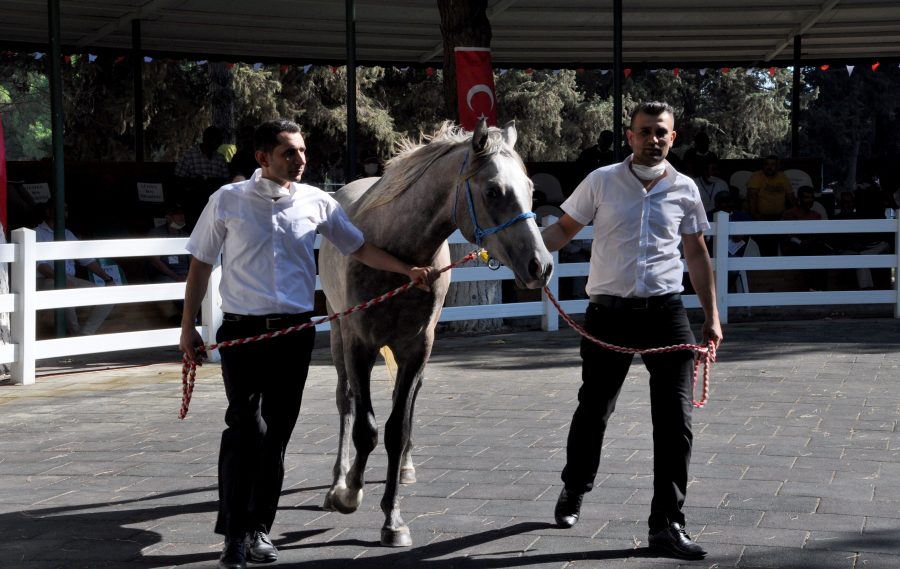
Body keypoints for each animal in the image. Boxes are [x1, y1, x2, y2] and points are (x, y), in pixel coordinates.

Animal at [320, 118, 552, 544]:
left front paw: (393, 519)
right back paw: (337, 482)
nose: (540, 266)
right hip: (336, 330)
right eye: (494, 191)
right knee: (346, 400)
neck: (397, 253)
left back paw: (403, 468)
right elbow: (365, 427)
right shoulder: (359, 344)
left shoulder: (418, 347)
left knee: (407, 404)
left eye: (530, 188)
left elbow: (396, 428)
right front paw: (349, 493)